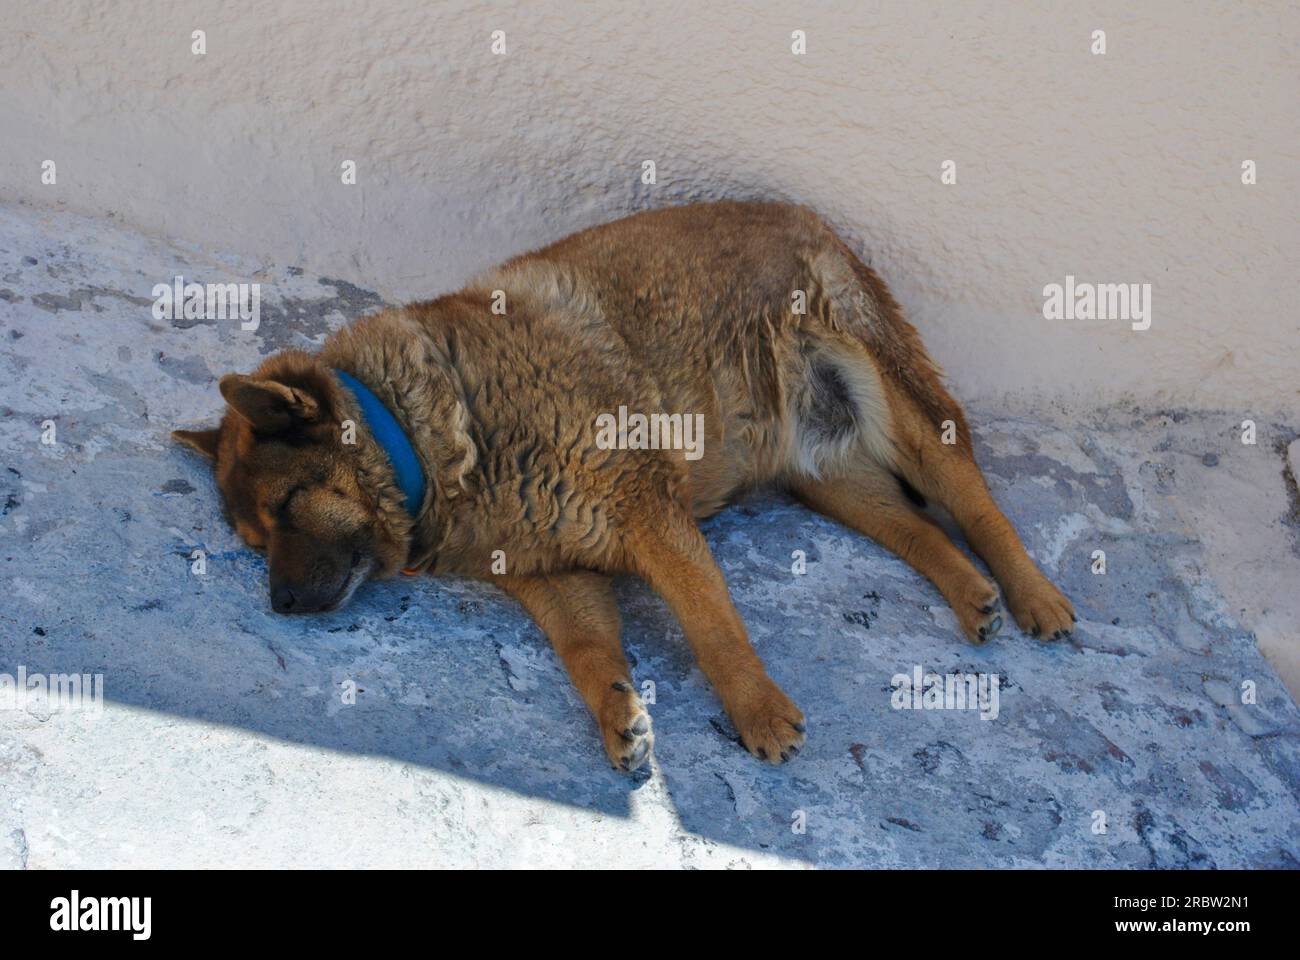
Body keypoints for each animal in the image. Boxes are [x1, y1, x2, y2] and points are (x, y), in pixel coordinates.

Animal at [175, 200, 1076, 770]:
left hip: (900, 406)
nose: (279, 605)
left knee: (971, 500)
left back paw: (1033, 594)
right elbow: (585, 652)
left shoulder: (648, 511)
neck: (426, 437)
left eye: (289, 506)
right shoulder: (554, 573)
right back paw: (970, 592)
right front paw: (619, 713)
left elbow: (710, 624)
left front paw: (755, 709)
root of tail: (808, 216)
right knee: (915, 528)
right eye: (254, 540)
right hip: (823, 474)